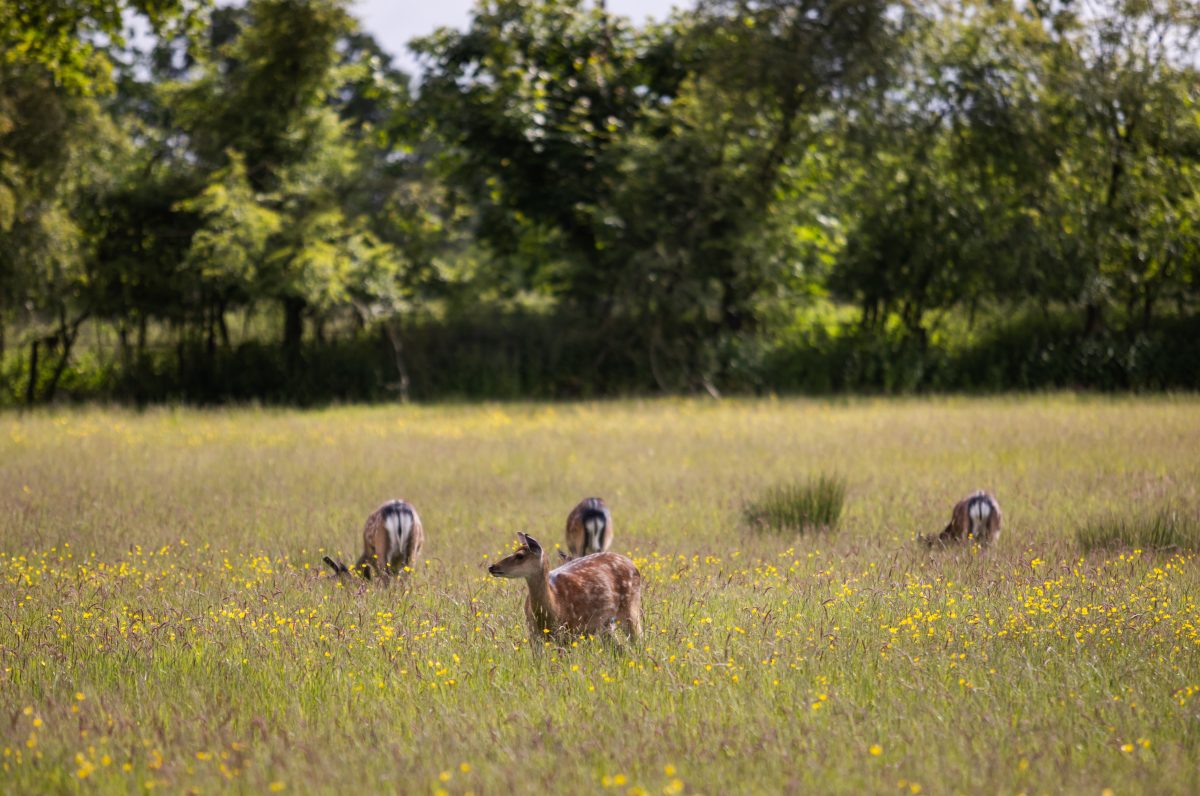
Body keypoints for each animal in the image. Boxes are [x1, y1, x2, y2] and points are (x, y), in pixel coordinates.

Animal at [488, 532, 643, 646]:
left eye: (519, 556)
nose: (492, 566)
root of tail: (634, 565)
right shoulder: (533, 636)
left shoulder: (569, 633)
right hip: (605, 624)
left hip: (631, 608)